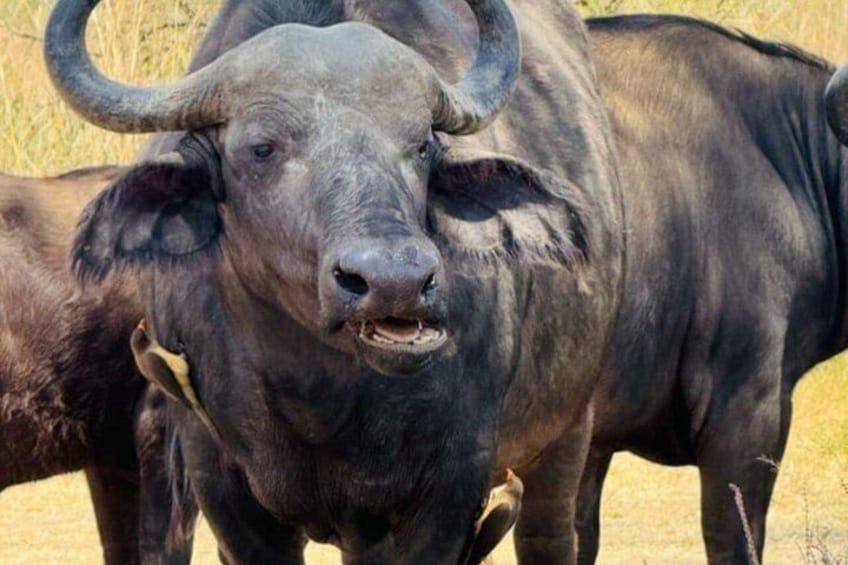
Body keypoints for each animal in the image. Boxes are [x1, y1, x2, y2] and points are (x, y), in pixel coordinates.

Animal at [44, 0, 623, 563]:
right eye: (262, 148)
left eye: (420, 146)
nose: (396, 280)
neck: (319, 390)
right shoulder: (223, 489)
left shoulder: (446, 493)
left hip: (565, 437)